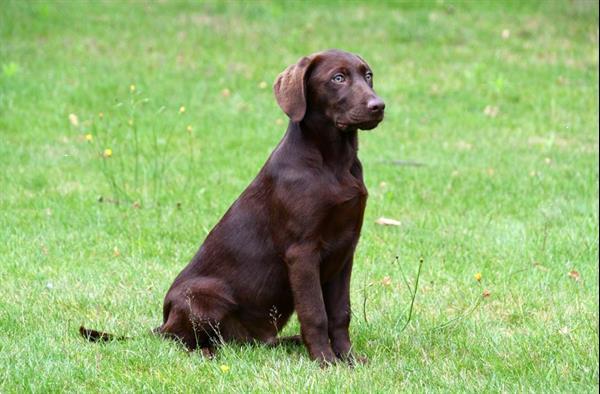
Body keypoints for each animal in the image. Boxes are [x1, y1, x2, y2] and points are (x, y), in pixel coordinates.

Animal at [81, 50, 384, 366]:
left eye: (368, 76)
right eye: (338, 78)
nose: (379, 106)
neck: (334, 162)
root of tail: (161, 322)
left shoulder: (345, 249)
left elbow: (340, 313)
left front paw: (348, 358)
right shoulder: (302, 252)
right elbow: (315, 313)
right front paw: (326, 361)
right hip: (200, 298)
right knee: (176, 341)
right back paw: (206, 352)